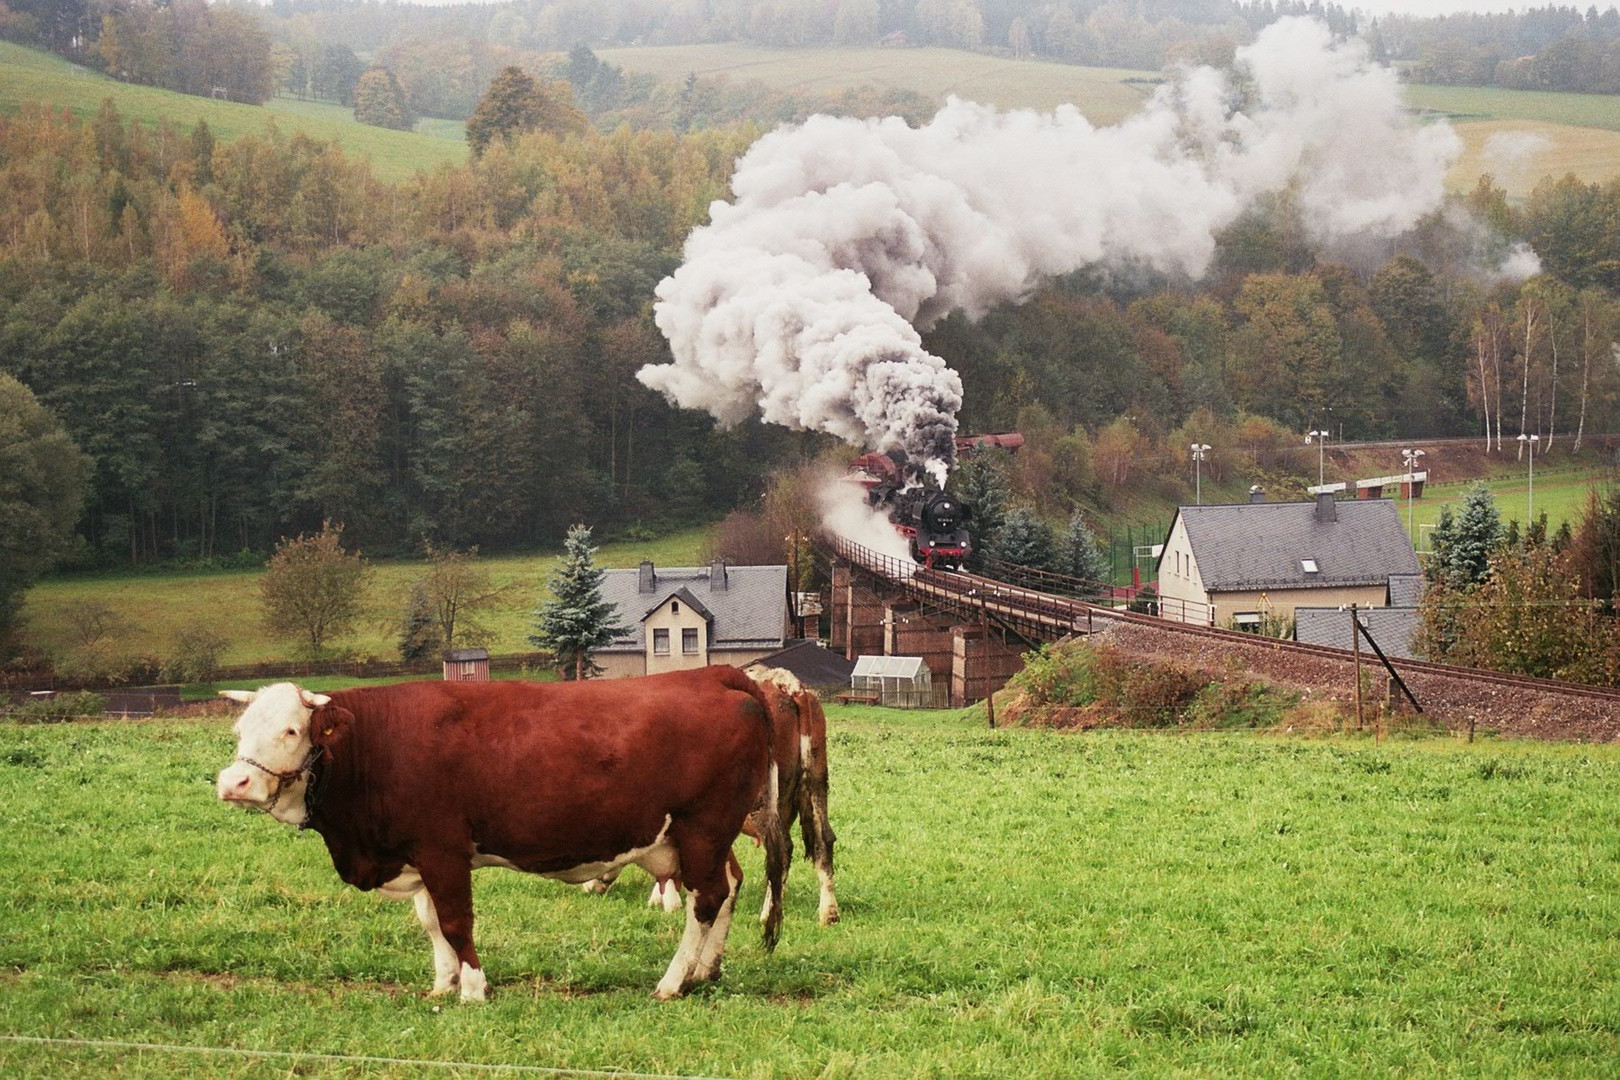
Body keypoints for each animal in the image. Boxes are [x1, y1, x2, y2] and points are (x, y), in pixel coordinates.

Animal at [218, 670, 787, 1003]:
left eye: (293, 729)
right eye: (239, 730)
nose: (233, 783)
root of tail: (713, 675)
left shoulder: (442, 849)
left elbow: (454, 921)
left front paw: (472, 987)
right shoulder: (420, 854)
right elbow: (430, 921)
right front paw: (442, 983)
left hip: (703, 827)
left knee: (706, 899)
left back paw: (671, 982)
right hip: (701, 839)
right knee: (728, 887)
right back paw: (704, 971)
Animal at [586, 667, 835, 932]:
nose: (587, 888)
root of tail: (784, 683)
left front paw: (667, 901)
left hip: (763, 801)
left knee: (782, 851)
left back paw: (767, 914)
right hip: (817, 783)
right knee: (824, 840)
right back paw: (828, 913)